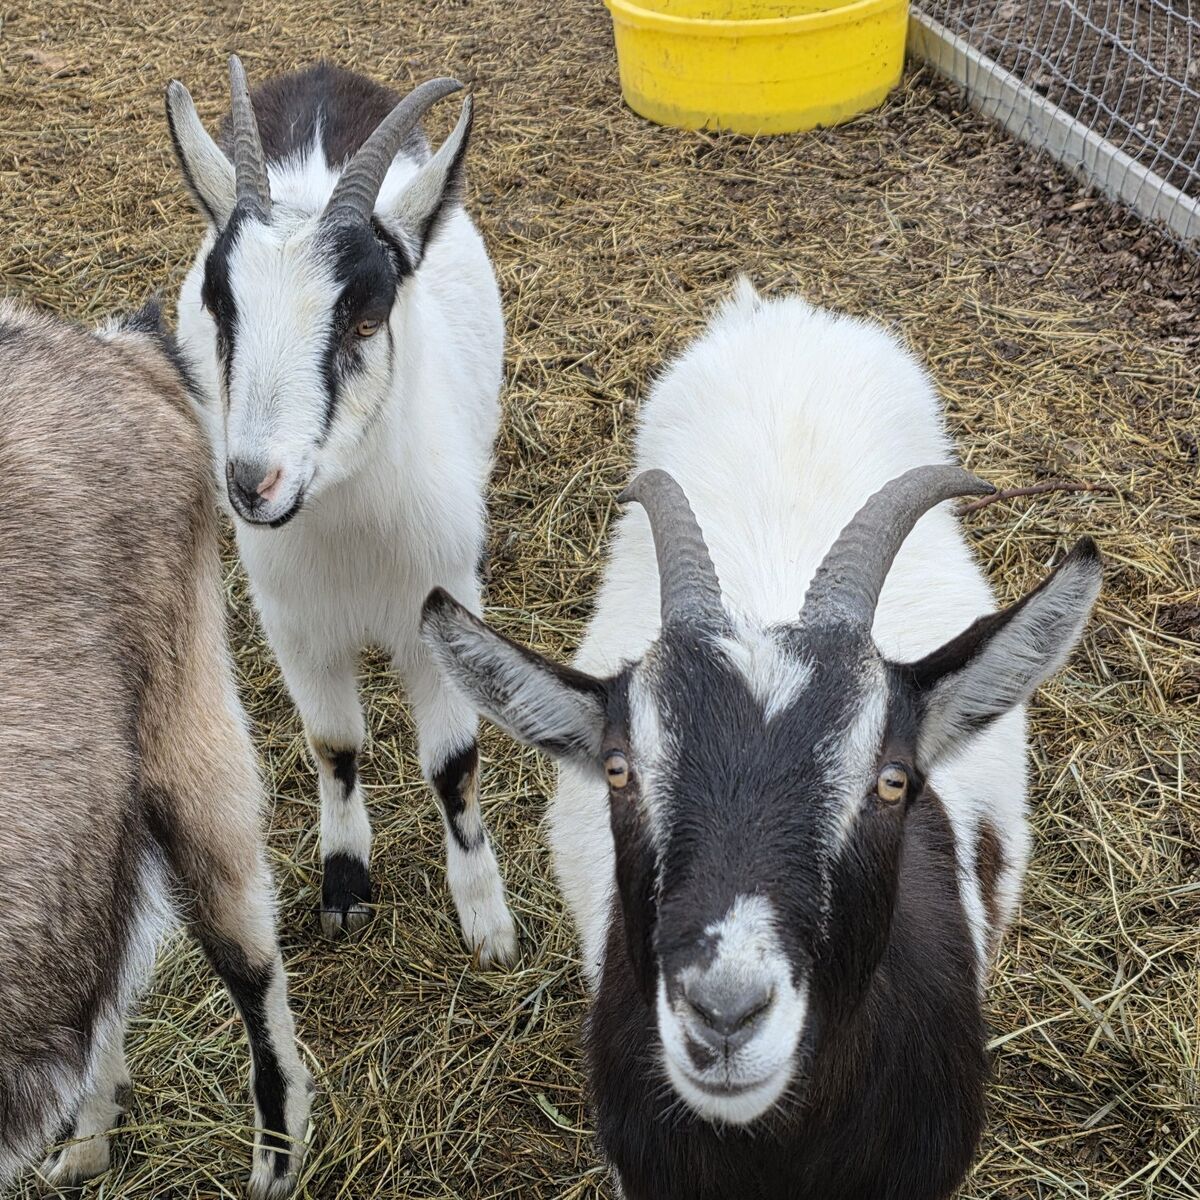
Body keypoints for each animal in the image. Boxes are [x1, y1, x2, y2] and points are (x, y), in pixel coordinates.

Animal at [165, 58, 516, 963]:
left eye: (364, 314)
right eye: (220, 307)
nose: (253, 481)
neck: (348, 530)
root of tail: (322, 81)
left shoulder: (438, 609)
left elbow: (453, 763)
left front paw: (486, 918)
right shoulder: (298, 625)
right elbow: (335, 745)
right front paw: (345, 884)